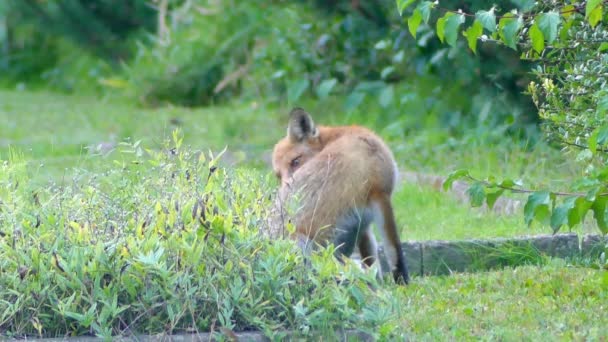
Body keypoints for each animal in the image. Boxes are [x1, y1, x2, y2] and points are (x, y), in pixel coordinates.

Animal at [270, 108, 408, 284]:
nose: (287, 187)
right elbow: (394, 251)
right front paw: (403, 283)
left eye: (295, 161)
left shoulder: (362, 221)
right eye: (278, 175)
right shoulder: (380, 195)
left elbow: (370, 258)